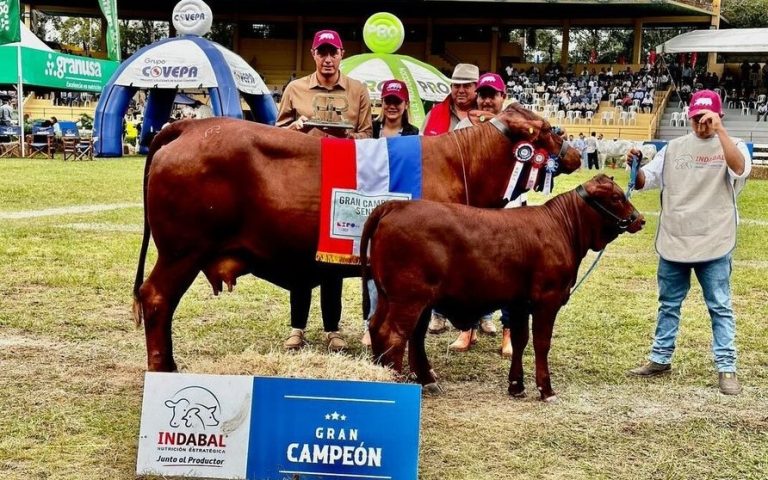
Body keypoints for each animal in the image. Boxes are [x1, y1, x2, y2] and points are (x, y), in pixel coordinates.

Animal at [132, 104, 580, 372]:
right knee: (156, 298)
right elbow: (412, 326)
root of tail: (191, 125)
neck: (460, 163)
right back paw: (163, 368)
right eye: (548, 129)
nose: (575, 153)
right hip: (182, 250)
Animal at [360, 174, 640, 400]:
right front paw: (546, 390)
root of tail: (395, 205)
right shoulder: (547, 300)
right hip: (409, 298)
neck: (562, 226)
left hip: (392, 296)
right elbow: (541, 343)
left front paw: (516, 385)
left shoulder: (519, 303)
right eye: (616, 197)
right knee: (395, 335)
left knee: (383, 329)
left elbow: (520, 340)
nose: (640, 220)